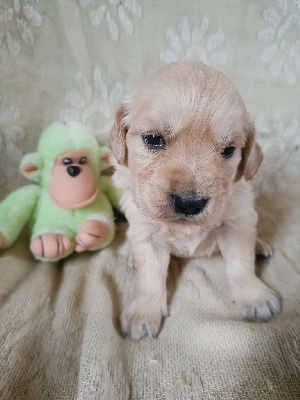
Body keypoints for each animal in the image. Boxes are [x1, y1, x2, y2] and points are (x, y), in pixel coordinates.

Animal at [110, 61, 282, 340]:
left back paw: (259, 245)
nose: (189, 203)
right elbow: (150, 277)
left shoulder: (237, 225)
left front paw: (253, 296)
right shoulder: (146, 234)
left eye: (228, 150)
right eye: (153, 139)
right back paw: (128, 254)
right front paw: (144, 313)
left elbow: (241, 265)